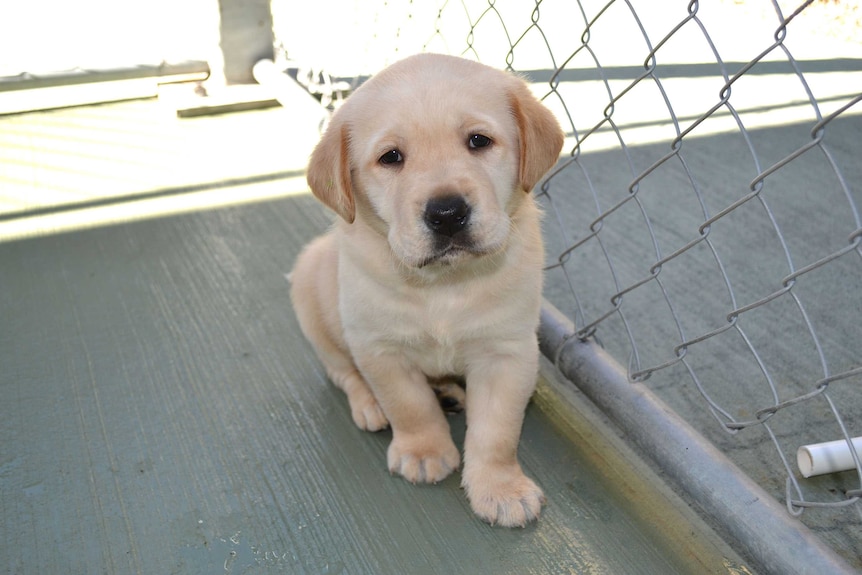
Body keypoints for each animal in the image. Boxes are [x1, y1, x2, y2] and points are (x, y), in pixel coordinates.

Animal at [292, 54, 568, 528]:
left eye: (478, 141)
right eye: (391, 157)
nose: (447, 213)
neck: (444, 283)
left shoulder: (508, 352)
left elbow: (497, 431)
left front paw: (500, 489)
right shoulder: (379, 348)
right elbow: (410, 405)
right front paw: (423, 452)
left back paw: (451, 392)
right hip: (311, 288)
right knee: (341, 371)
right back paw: (370, 404)